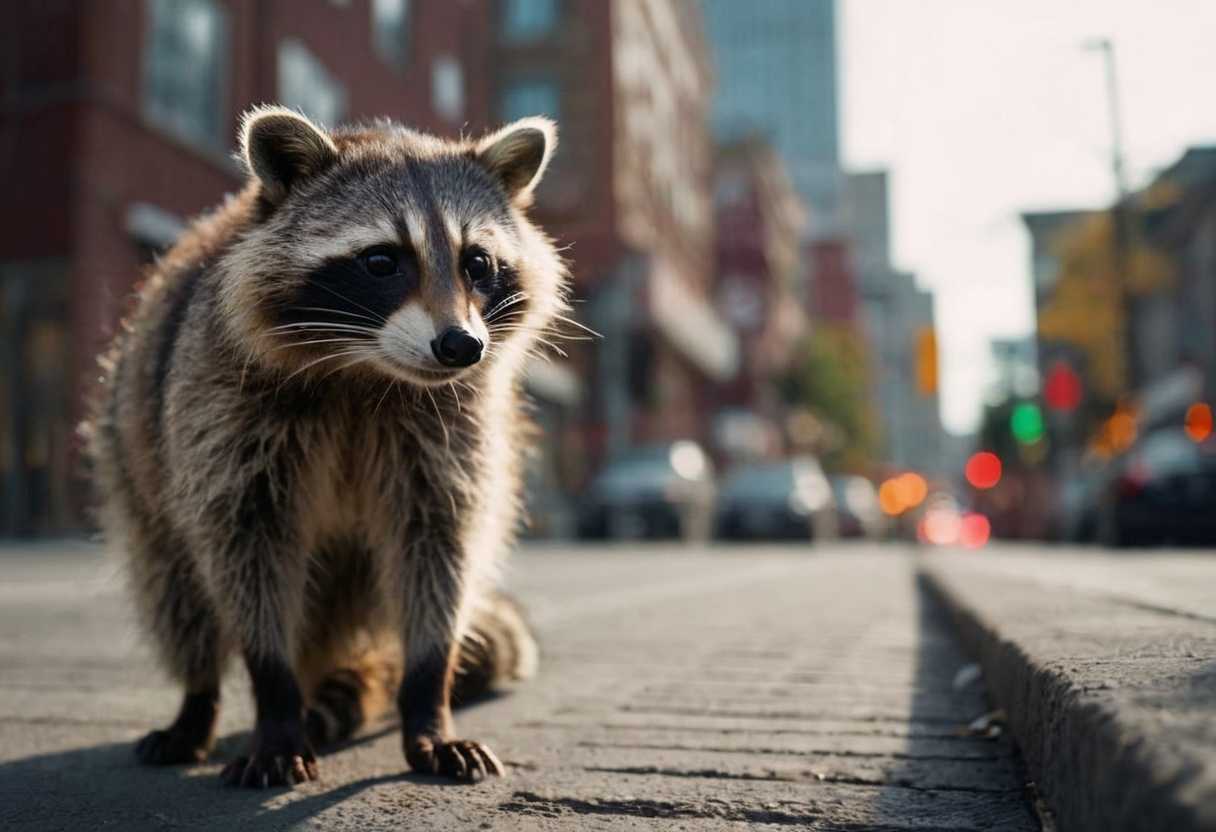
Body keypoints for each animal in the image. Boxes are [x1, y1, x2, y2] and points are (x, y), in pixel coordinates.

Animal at [85, 106, 566, 786]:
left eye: (477, 262)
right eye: (382, 261)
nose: (462, 346)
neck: (364, 368)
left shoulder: (451, 428)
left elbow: (439, 546)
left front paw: (428, 695)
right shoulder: (220, 410)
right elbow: (244, 549)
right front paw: (273, 696)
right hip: (135, 458)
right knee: (174, 591)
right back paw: (198, 701)